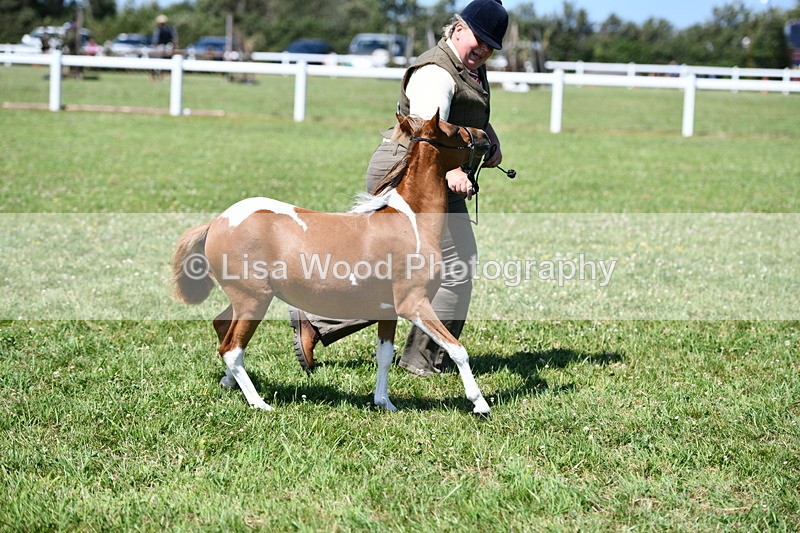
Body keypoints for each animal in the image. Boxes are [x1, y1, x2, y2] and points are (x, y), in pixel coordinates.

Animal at [171, 111, 492, 414]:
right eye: (455, 129)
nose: (485, 137)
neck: (409, 222)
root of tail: (216, 223)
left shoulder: (388, 311)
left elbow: (385, 355)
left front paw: (384, 402)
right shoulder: (414, 304)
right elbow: (457, 349)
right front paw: (480, 404)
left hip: (244, 299)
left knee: (222, 326)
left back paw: (229, 382)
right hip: (253, 300)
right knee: (232, 348)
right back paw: (259, 403)